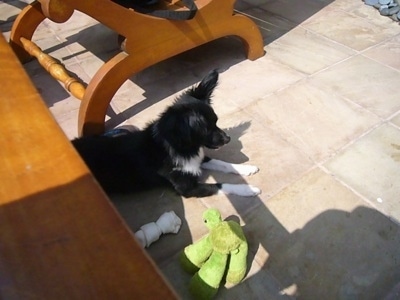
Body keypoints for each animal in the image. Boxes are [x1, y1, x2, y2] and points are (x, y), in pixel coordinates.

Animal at [73, 69, 260, 198]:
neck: (181, 147)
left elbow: (222, 163)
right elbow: (221, 185)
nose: (228, 139)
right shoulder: (187, 188)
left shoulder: (198, 158)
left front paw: (246, 168)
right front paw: (248, 188)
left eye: (216, 122)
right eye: (206, 129)